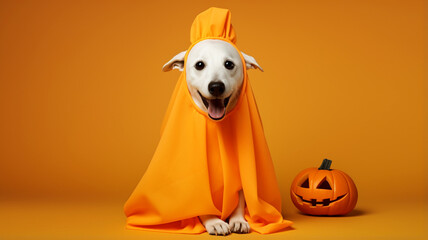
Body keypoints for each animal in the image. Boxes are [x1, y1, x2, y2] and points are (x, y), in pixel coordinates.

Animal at [162, 38, 264, 235]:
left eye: (229, 64)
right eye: (199, 65)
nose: (216, 87)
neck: (216, 127)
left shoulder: (238, 173)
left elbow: (238, 199)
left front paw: (238, 220)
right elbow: (202, 204)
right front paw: (214, 222)